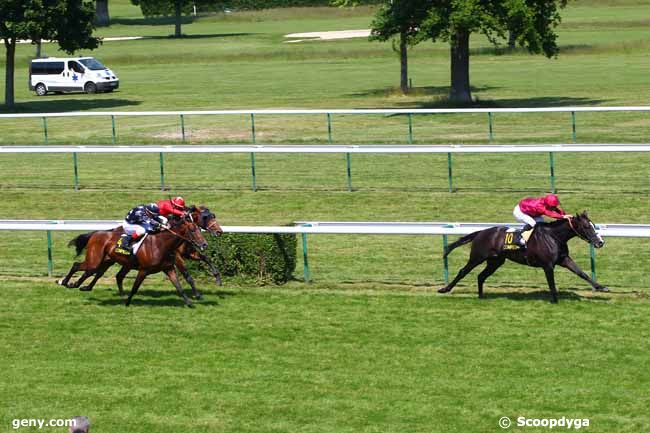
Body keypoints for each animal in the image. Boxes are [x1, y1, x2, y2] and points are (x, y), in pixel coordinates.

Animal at [438, 211, 604, 302]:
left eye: (594, 225)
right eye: (587, 226)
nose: (600, 242)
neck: (554, 236)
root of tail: (481, 232)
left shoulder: (564, 259)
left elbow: (581, 273)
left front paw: (601, 287)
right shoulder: (548, 265)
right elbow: (551, 283)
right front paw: (555, 300)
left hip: (495, 261)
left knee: (481, 276)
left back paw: (481, 296)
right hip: (477, 257)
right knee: (463, 271)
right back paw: (445, 289)